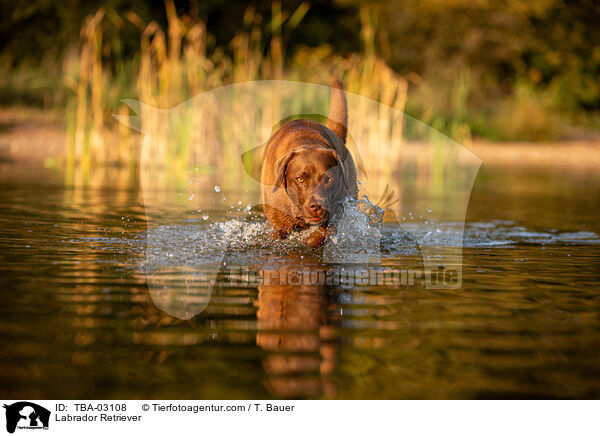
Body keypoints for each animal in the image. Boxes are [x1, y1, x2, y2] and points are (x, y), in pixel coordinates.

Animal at [262, 80, 356, 247]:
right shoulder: (277, 219)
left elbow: (318, 236)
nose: (317, 206)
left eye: (329, 179)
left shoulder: (335, 213)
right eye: (300, 179)